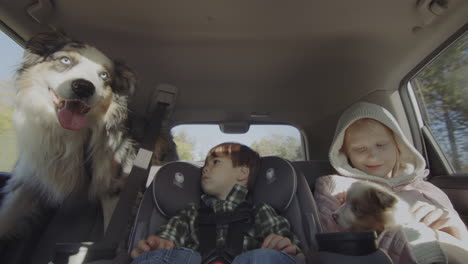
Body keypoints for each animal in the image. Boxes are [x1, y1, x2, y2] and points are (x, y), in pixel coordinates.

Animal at [0, 32, 137, 237]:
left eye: (104, 75)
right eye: (65, 60)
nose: (84, 87)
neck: (66, 134)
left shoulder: (114, 185)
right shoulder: (31, 177)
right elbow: (8, 215)